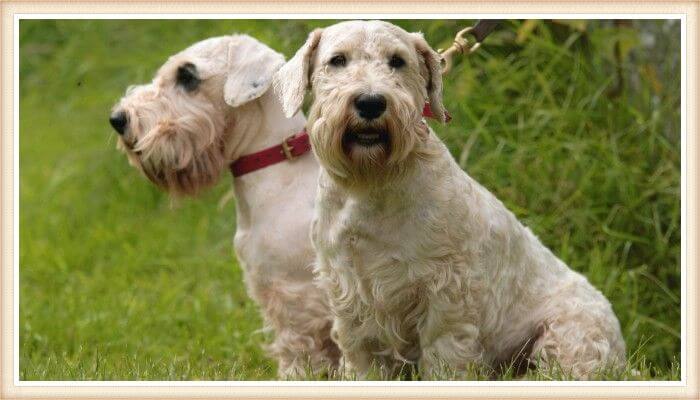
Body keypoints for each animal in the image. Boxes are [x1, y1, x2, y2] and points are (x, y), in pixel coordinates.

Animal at [274, 20, 624, 380]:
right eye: (337, 60)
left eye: (397, 61)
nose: (371, 102)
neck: (372, 184)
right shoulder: (349, 293)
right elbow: (361, 355)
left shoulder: (446, 292)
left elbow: (444, 351)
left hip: (569, 335)